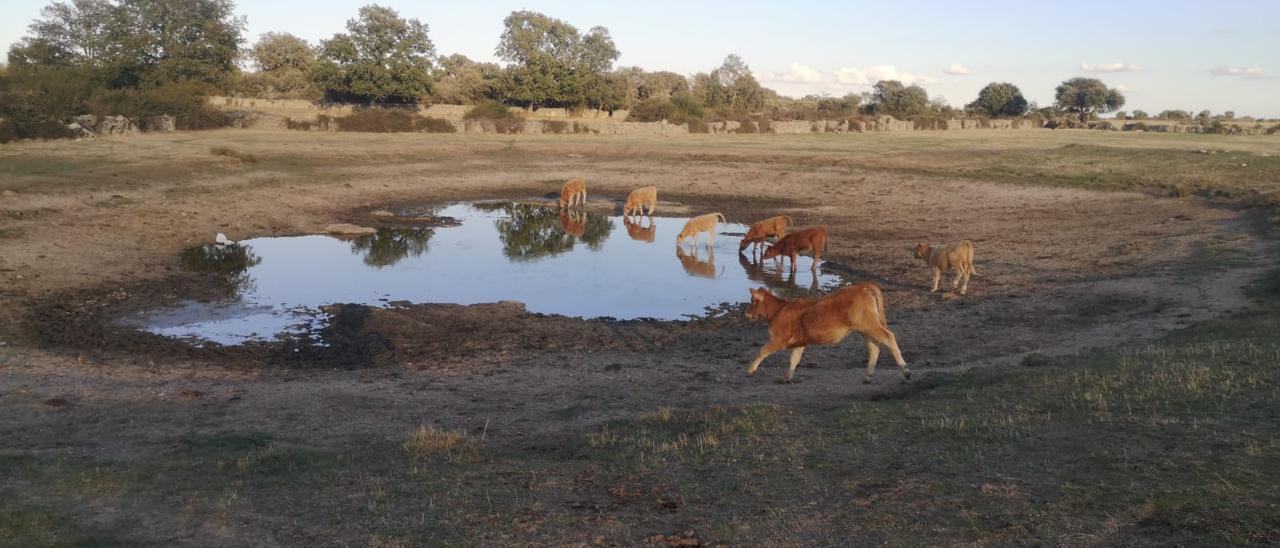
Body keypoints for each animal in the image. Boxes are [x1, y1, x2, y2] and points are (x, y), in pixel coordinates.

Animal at [742, 284, 911, 384]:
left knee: (888, 337)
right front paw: (787, 377)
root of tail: (863, 286)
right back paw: (867, 376)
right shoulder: (801, 343)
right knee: (874, 347)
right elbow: (794, 359)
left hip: (869, 324)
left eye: (752, 300)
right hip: (865, 328)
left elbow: (762, 350)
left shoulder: (778, 339)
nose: (746, 312)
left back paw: (906, 371)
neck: (778, 310)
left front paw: (750, 369)